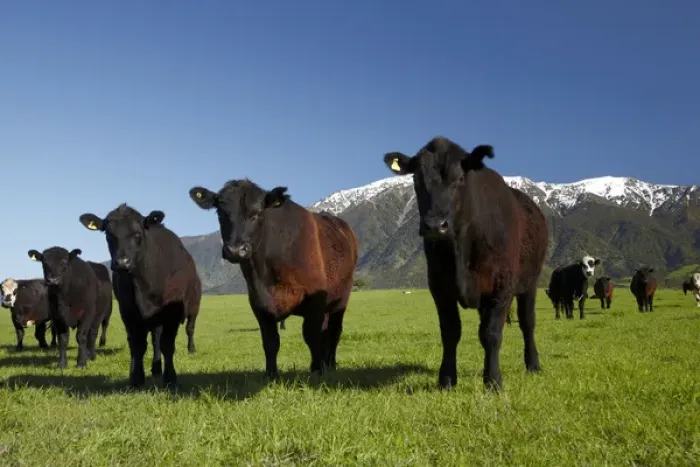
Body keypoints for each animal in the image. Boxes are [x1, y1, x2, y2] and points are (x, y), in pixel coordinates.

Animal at [79, 204, 202, 388]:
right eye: (109, 235)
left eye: (137, 234)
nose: (122, 262)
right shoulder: (128, 312)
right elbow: (138, 345)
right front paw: (136, 378)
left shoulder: (172, 313)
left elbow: (167, 344)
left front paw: (170, 378)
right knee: (155, 338)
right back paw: (156, 368)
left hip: (193, 308)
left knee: (189, 329)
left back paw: (191, 349)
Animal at [188, 179, 359, 378]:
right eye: (220, 212)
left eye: (257, 212)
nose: (235, 250)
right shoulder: (258, 303)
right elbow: (270, 341)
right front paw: (271, 375)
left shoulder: (315, 301)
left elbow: (311, 336)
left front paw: (316, 371)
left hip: (341, 299)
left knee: (334, 331)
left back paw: (330, 364)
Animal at [381, 136, 549, 391]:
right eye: (416, 179)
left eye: (460, 178)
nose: (434, 225)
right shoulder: (439, 286)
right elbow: (450, 331)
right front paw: (447, 380)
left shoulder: (502, 285)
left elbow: (491, 333)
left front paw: (493, 381)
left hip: (530, 282)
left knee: (527, 323)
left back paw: (533, 364)